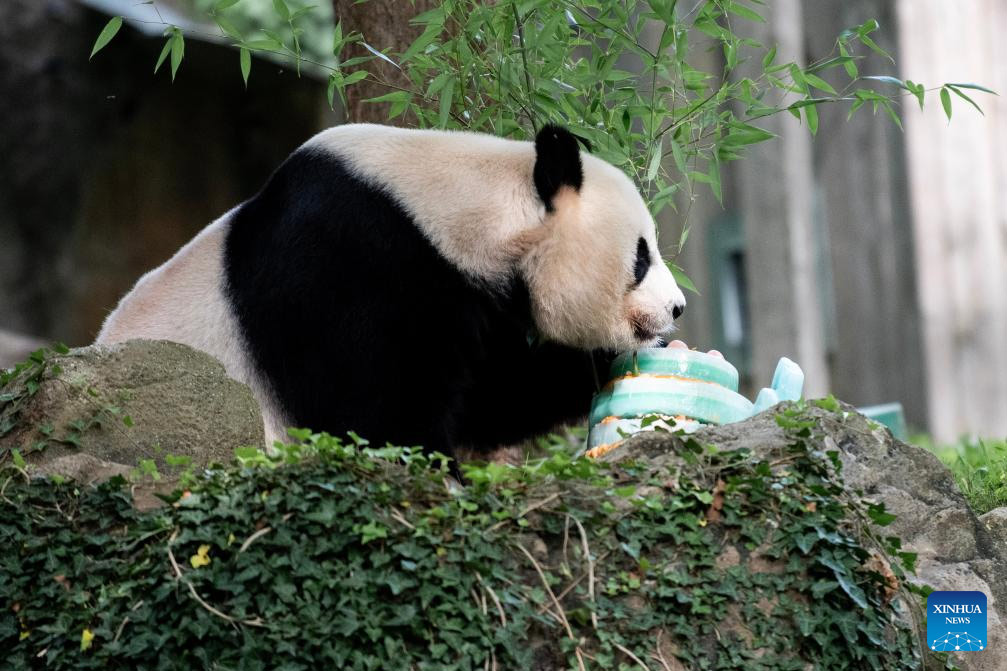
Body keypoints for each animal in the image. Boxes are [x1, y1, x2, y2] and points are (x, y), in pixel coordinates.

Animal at [96, 121, 684, 455]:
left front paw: (601, 364)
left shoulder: (464, 297)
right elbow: (374, 413)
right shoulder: (350, 265)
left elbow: (492, 397)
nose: (677, 308)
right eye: (641, 255)